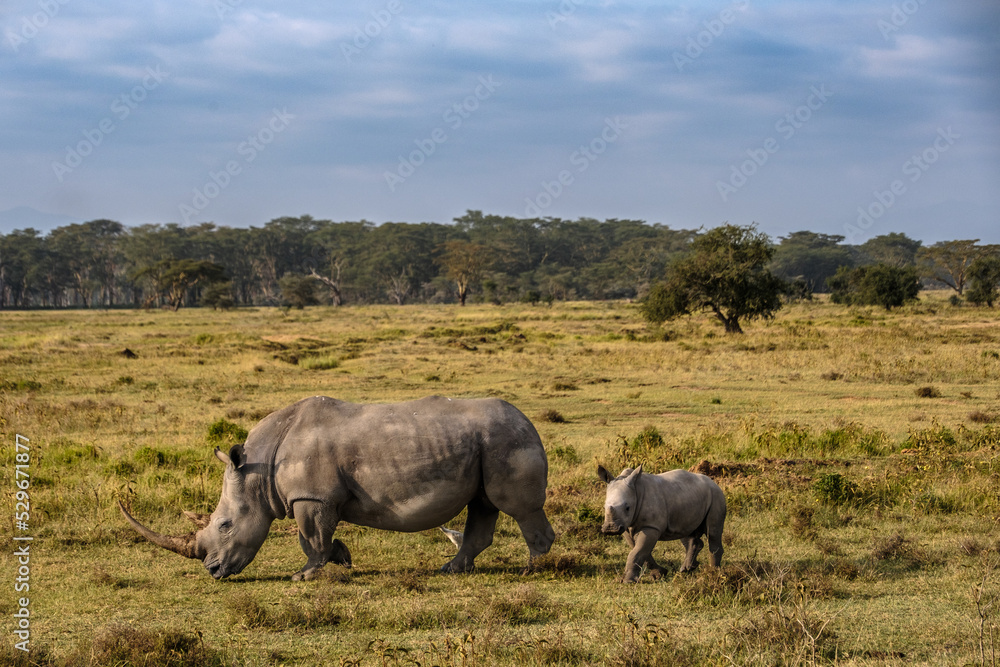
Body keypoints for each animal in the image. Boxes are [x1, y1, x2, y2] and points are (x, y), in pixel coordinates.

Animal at [119, 396, 556, 580]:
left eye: (225, 525)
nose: (212, 571)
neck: (259, 470)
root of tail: (529, 420)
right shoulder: (315, 496)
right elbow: (320, 536)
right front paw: (341, 559)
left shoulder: (311, 496)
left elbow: (309, 537)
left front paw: (304, 577)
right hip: (487, 443)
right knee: (483, 505)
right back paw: (451, 570)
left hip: (507, 440)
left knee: (516, 507)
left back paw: (532, 570)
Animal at [597, 464, 726, 583]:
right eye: (604, 507)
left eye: (627, 508)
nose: (610, 529)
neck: (636, 491)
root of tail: (713, 482)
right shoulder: (626, 526)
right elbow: (639, 551)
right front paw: (659, 574)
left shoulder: (651, 526)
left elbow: (638, 551)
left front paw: (628, 581)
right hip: (687, 498)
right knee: (686, 532)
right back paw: (686, 569)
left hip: (716, 495)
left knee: (713, 533)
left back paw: (713, 574)